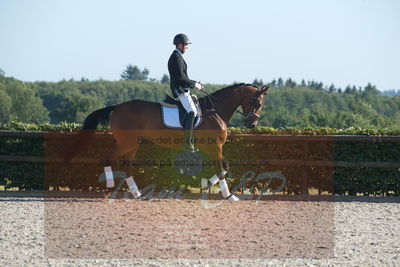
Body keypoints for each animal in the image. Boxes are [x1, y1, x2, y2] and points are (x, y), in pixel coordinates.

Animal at [65, 83, 268, 201]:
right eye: (258, 103)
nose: (252, 124)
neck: (215, 110)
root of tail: (117, 107)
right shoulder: (215, 146)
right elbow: (221, 168)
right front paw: (228, 196)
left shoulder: (210, 148)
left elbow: (222, 168)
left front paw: (206, 185)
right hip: (126, 143)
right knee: (106, 157)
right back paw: (108, 188)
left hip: (133, 144)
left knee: (127, 165)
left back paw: (137, 194)